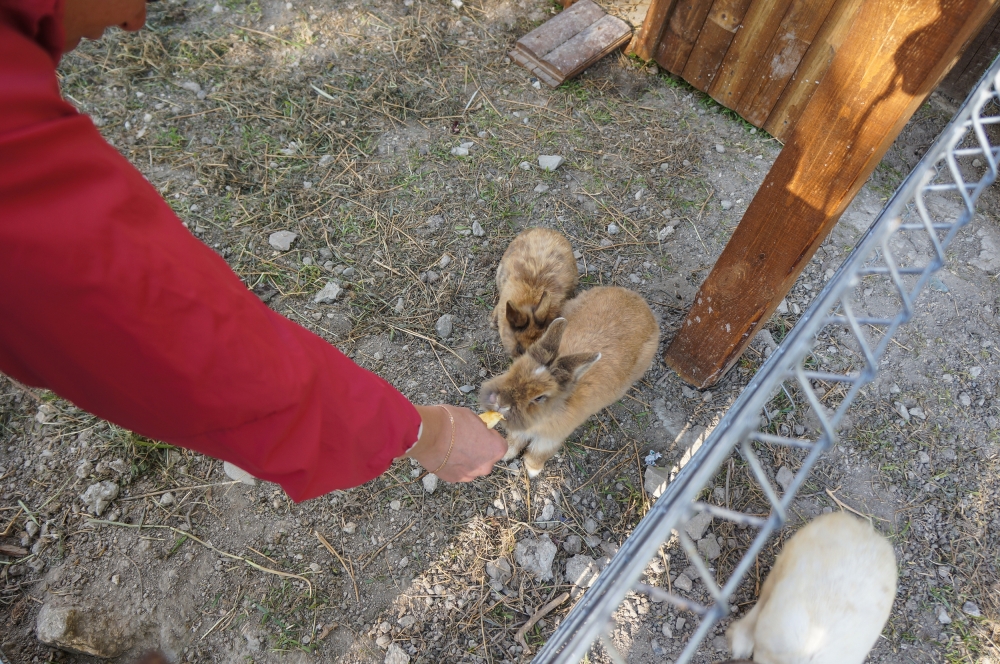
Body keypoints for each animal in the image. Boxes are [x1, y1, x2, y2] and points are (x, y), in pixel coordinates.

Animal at [480, 286, 659, 477]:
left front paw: (532, 470)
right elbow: (514, 441)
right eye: (514, 369)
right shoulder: (521, 433)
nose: (500, 402)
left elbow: (538, 453)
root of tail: (640, 302)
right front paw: (506, 454)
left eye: (539, 398)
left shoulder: (550, 439)